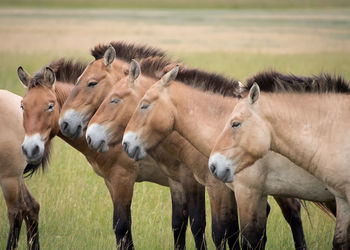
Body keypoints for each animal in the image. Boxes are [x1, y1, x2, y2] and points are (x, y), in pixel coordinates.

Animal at [18, 45, 208, 250]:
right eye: (22, 106)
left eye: (50, 106)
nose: (66, 123)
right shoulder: (111, 181)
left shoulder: (125, 178)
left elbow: (123, 226)